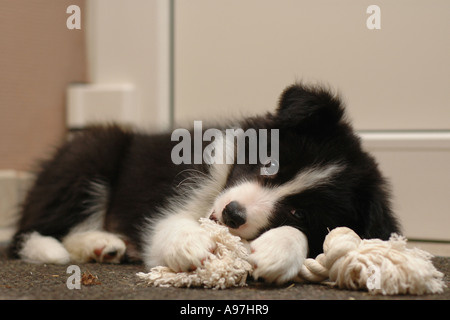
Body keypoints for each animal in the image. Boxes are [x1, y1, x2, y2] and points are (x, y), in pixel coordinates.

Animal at [8, 84, 400, 284]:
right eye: (269, 163)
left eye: (299, 213)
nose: (233, 214)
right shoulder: (173, 203)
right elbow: (167, 226)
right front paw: (191, 244)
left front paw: (277, 251)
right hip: (92, 149)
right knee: (30, 231)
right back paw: (75, 245)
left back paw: (105, 246)